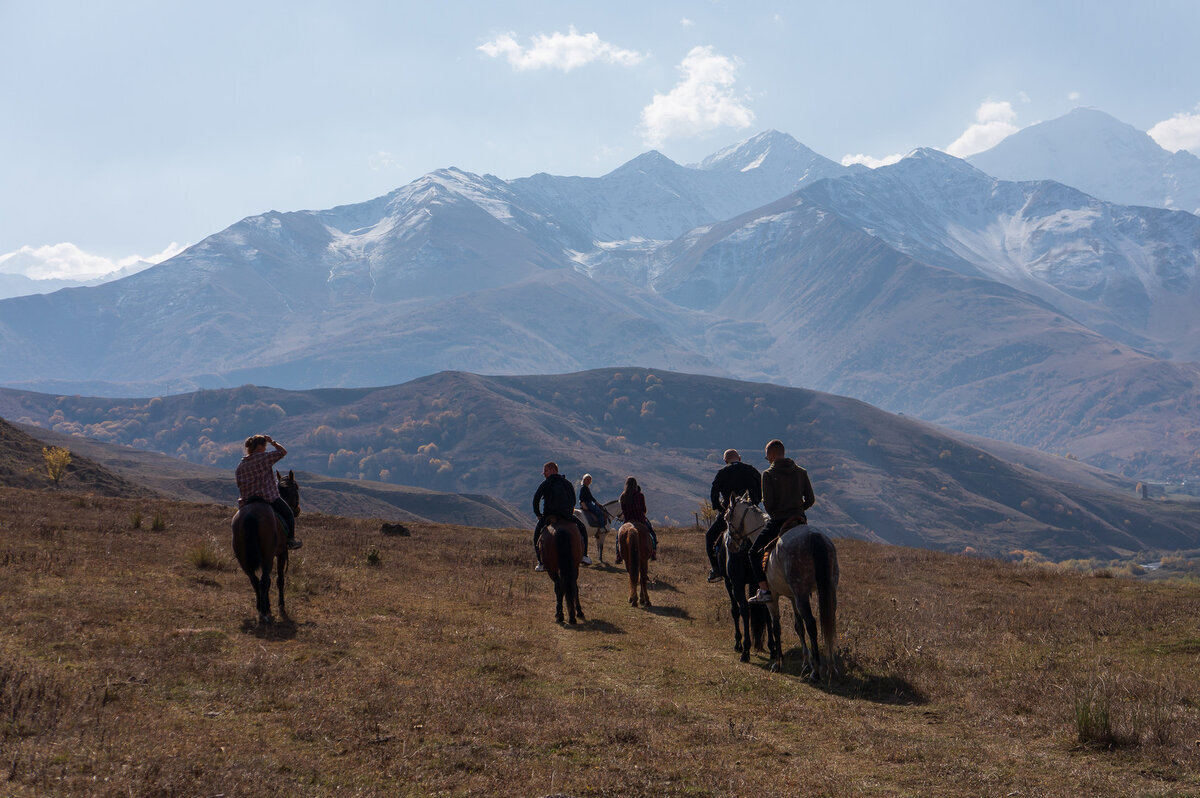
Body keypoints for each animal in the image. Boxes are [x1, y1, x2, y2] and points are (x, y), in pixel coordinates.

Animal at [230, 470, 300, 624]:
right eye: (297, 488)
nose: (297, 510)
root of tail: (250, 514)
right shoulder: (280, 553)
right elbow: (279, 579)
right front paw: (280, 606)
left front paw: (268, 605)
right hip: (268, 556)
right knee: (263, 581)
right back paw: (264, 612)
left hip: (244, 559)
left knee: (255, 580)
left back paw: (260, 609)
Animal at [724, 499, 840, 676]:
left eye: (727, 518)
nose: (730, 544)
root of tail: (814, 537)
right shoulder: (792, 597)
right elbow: (798, 626)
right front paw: (806, 663)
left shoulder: (774, 597)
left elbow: (776, 627)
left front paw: (777, 663)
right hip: (828, 589)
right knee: (829, 622)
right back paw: (831, 668)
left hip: (801, 594)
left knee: (812, 624)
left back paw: (816, 673)